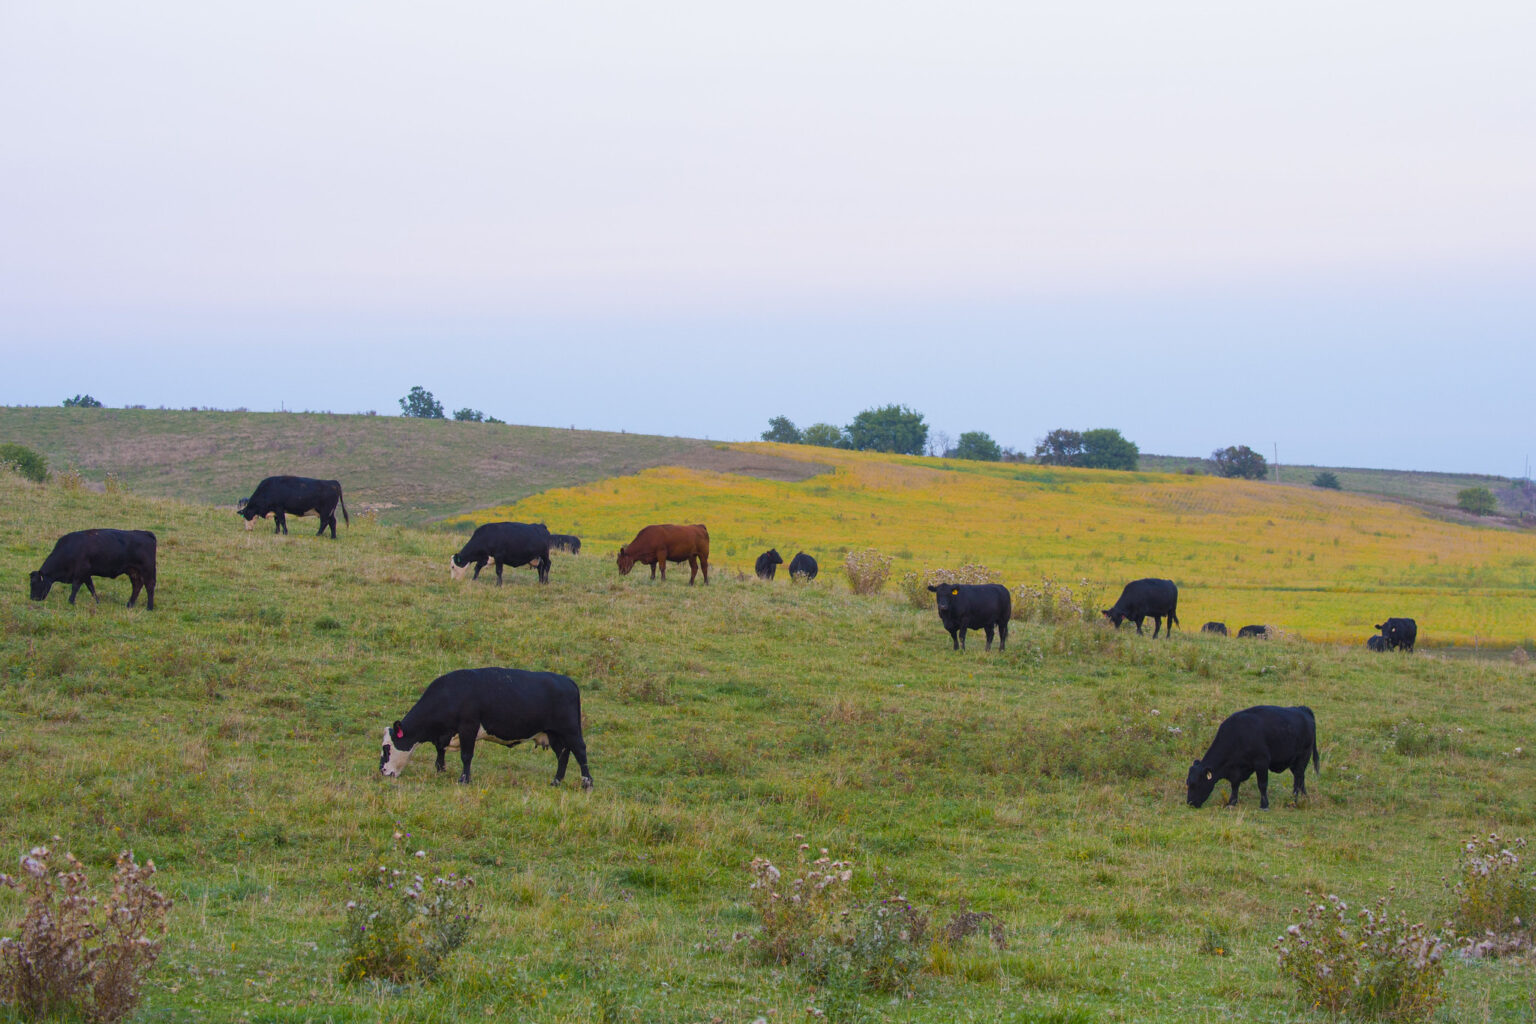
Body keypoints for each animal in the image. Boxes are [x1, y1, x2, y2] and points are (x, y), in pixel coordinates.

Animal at [380, 669, 589, 792]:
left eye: (387, 748)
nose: (383, 771)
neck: (450, 693)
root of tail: (567, 681)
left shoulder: (468, 727)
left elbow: (466, 756)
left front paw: (464, 779)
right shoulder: (444, 734)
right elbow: (440, 752)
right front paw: (441, 770)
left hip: (570, 731)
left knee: (580, 752)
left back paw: (587, 783)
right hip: (553, 734)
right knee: (563, 755)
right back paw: (556, 782)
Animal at [1185, 706, 1320, 810]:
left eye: (1196, 784)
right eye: (1188, 783)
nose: (1190, 803)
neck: (1238, 736)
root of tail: (1301, 709)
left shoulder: (1261, 762)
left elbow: (1262, 784)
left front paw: (1264, 805)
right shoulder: (1236, 770)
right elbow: (1235, 785)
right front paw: (1231, 803)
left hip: (1302, 758)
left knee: (1298, 779)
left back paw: (1293, 801)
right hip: (1295, 763)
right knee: (1301, 779)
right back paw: (1303, 797)